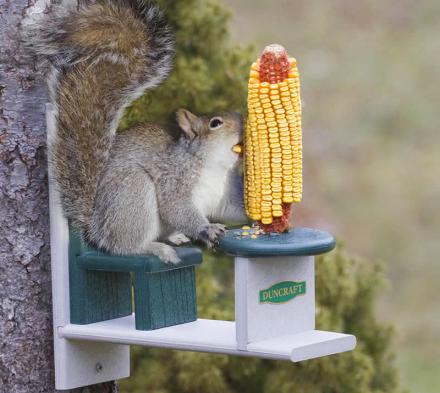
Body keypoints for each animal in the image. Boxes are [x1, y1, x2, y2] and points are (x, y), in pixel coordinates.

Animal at [23, 1, 248, 264]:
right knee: (124, 246)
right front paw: (207, 228)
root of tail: (96, 227)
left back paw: (175, 237)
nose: (243, 122)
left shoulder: (225, 195)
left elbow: (233, 210)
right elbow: (176, 207)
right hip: (133, 192)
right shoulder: (174, 179)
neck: (215, 167)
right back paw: (156, 248)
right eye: (215, 123)